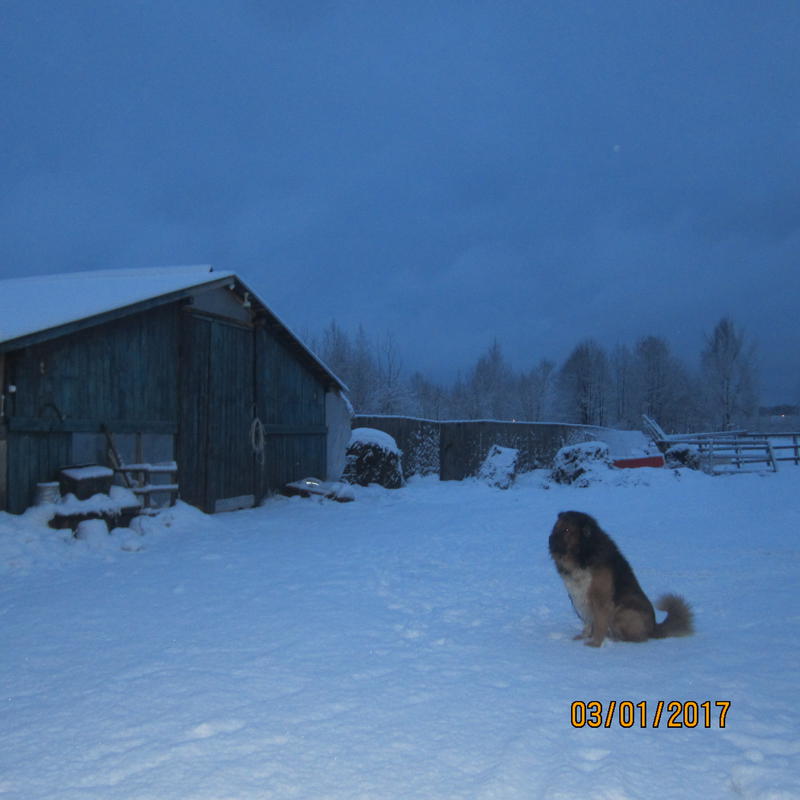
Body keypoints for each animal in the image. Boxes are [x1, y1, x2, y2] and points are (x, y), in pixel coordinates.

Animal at [552, 510, 692, 648]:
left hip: (621, 612)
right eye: (555, 528)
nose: (550, 540)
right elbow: (588, 621)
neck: (583, 555)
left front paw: (595, 644)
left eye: (566, 530)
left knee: (638, 639)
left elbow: (599, 624)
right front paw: (583, 637)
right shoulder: (579, 598)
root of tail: (654, 628)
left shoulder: (600, 600)